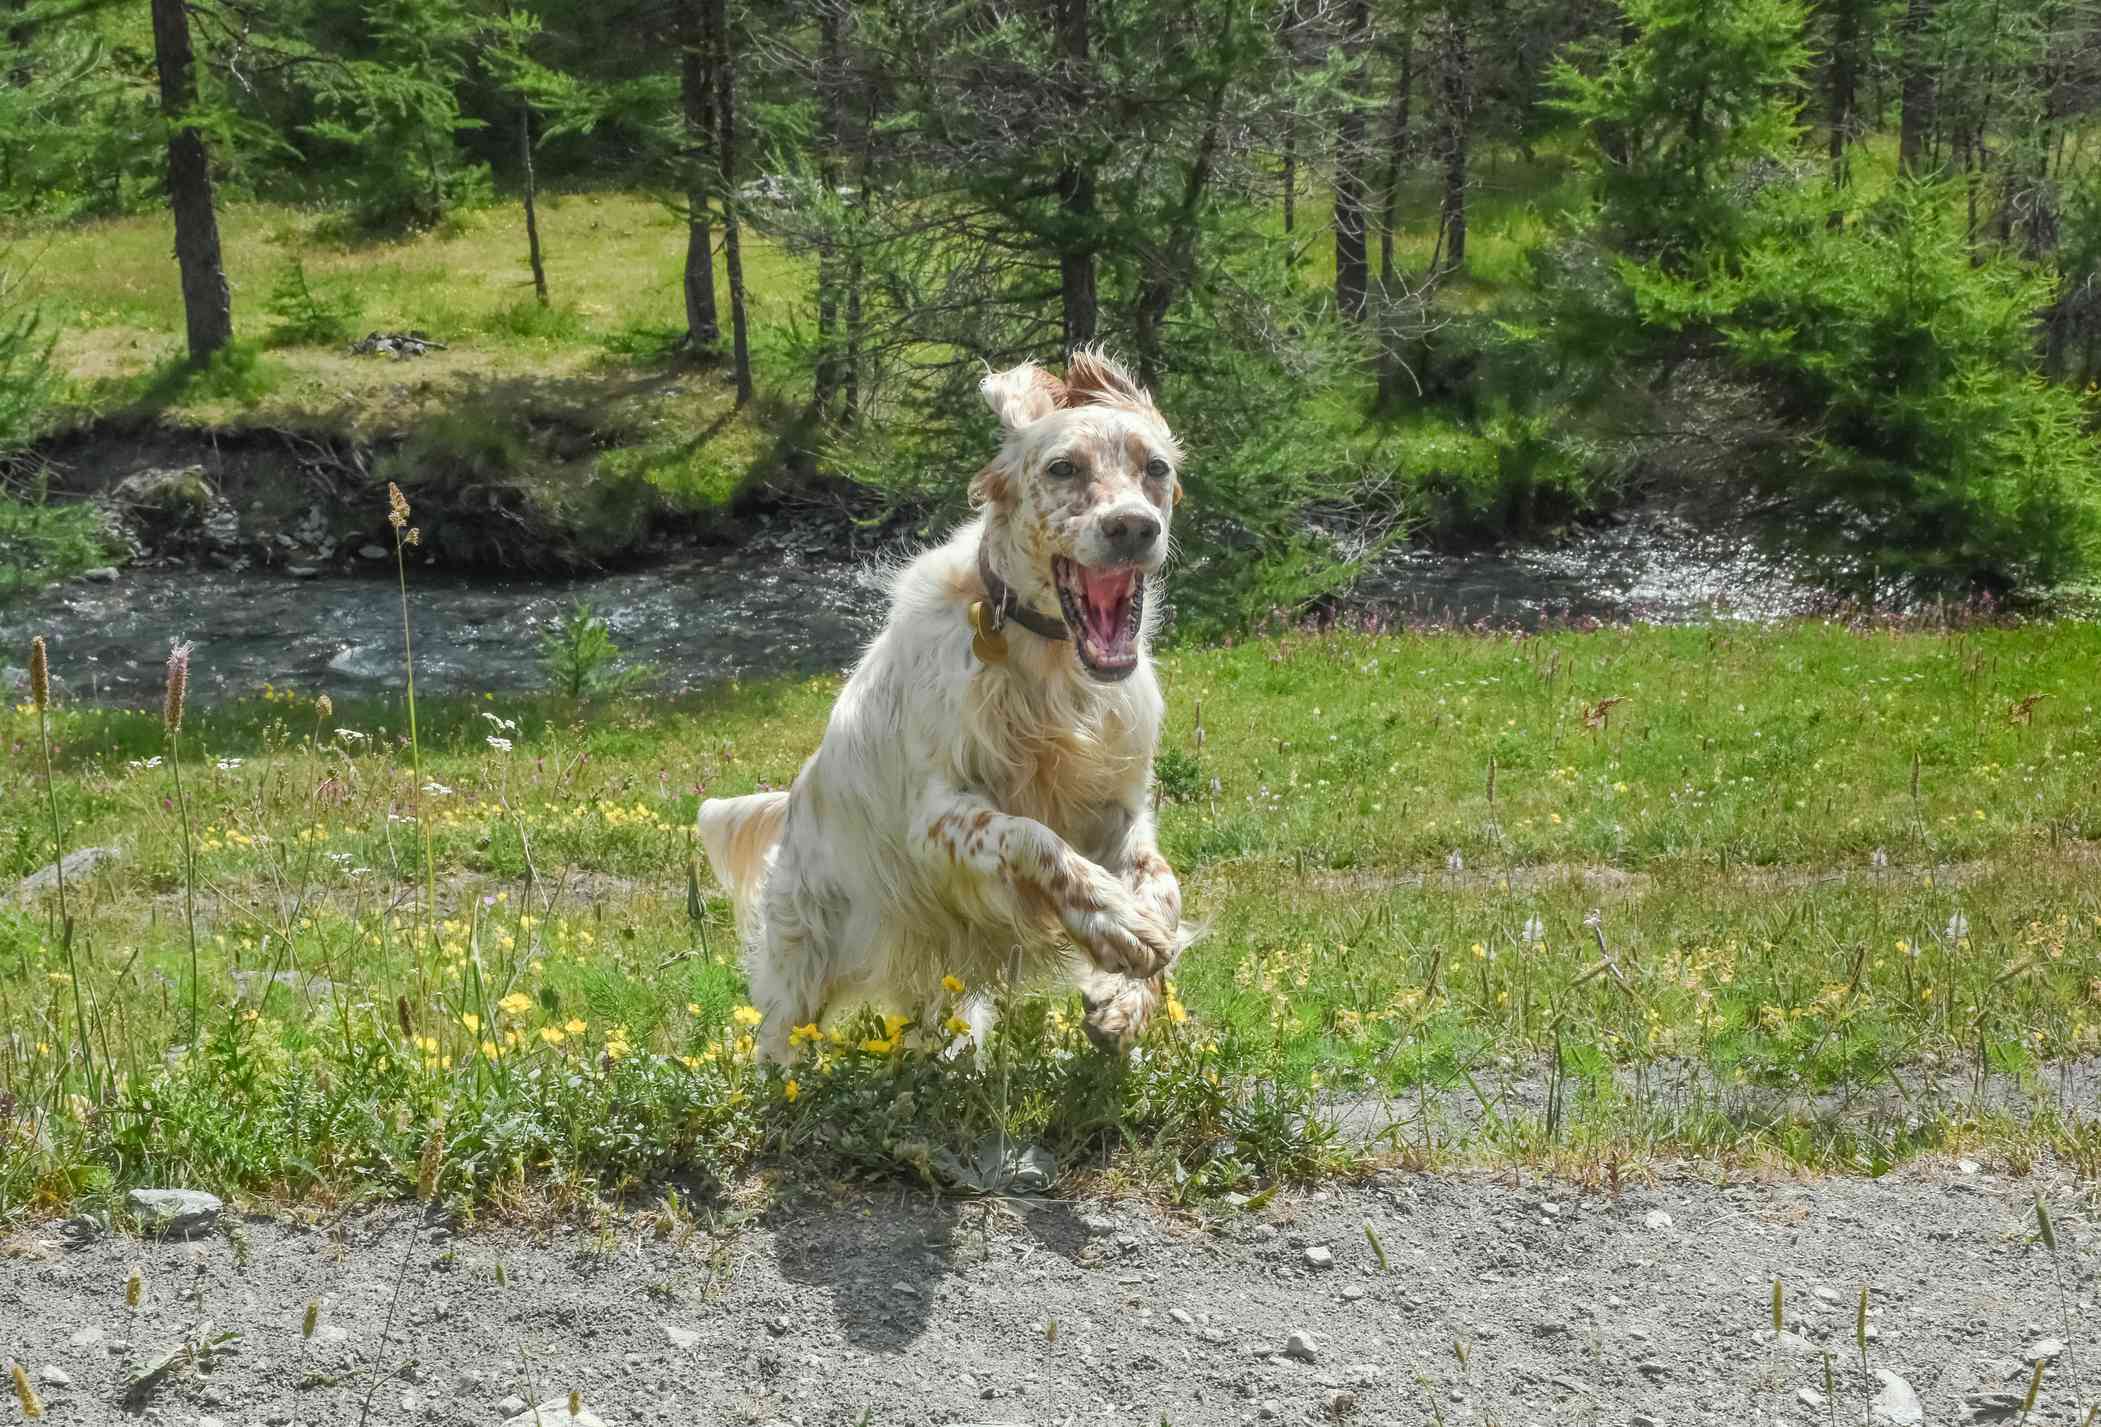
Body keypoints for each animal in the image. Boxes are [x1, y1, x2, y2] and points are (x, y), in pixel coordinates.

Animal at [701, 346, 1193, 1059]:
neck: (1052, 671)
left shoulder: (1119, 803)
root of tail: (789, 805)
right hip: (803, 966)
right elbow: (1030, 836)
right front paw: (1117, 925)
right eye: (1062, 467)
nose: (1132, 527)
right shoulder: (936, 819)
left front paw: (1126, 991)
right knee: (780, 1041)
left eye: (1155, 468)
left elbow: (1162, 880)